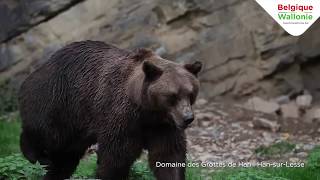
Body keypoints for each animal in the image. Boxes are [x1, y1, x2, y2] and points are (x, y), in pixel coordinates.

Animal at [18, 40, 202, 179]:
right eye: (172, 95)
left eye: (191, 93)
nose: (188, 118)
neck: (146, 109)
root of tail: (35, 71)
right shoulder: (120, 115)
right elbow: (116, 157)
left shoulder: (163, 125)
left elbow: (168, 156)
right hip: (58, 101)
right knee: (48, 135)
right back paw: (35, 155)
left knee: (65, 156)